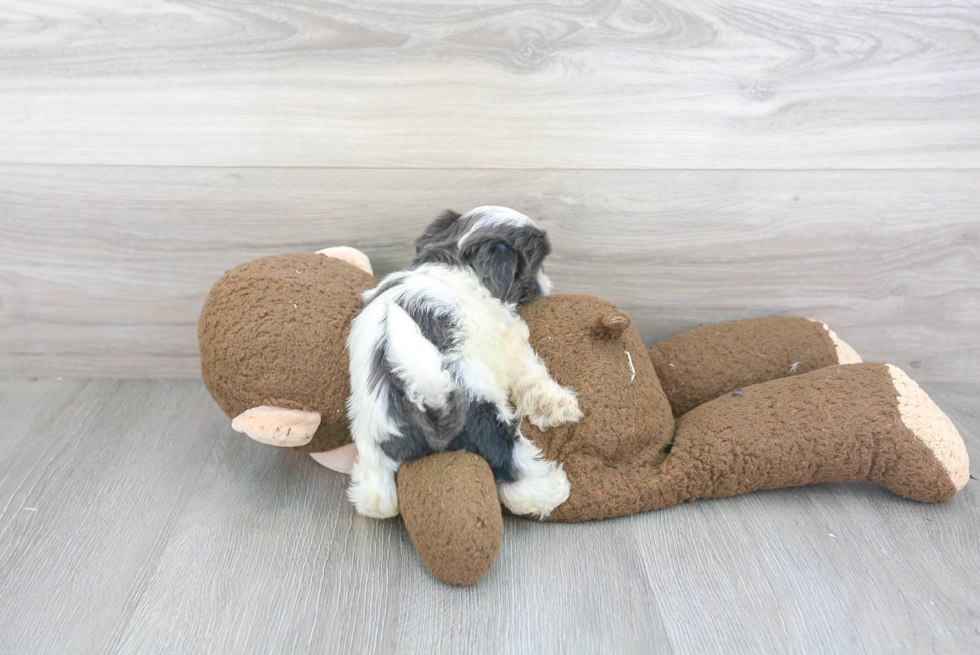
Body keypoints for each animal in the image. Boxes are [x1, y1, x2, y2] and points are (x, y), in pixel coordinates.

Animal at [346, 208, 580, 520]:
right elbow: (531, 373)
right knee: (512, 464)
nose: (547, 284)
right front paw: (558, 405)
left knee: (376, 500)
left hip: (375, 453)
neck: (454, 259)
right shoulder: (510, 340)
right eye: (535, 267)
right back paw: (553, 488)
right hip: (483, 414)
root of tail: (428, 405)